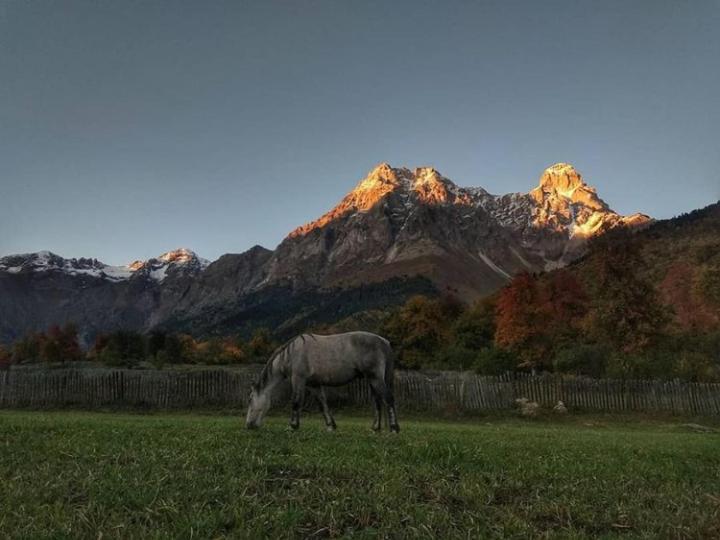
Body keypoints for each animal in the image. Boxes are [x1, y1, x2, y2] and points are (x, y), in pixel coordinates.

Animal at [246, 332, 400, 432]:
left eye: (250, 399)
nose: (248, 425)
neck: (291, 354)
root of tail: (385, 342)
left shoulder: (298, 380)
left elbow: (296, 402)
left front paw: (292, 426)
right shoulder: (314, 385)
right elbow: (323, 405)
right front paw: (330, 426)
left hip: (375, 378)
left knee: (388, 399)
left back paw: (394, 428)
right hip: (372, 380)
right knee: (377, 402)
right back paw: (375, 428)